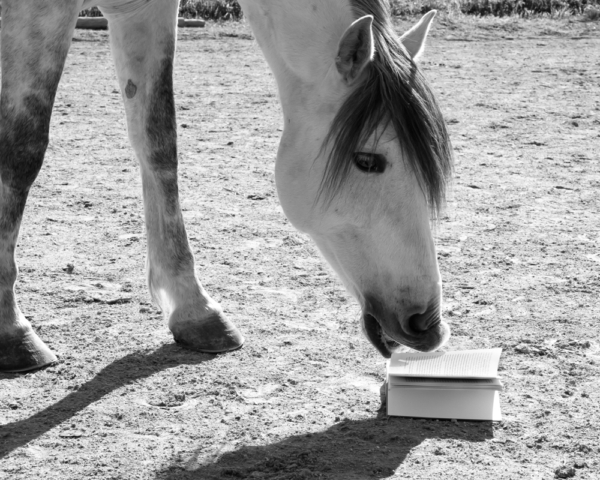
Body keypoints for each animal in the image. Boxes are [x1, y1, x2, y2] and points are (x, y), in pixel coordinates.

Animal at [0, 0, 450, 374]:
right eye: (368, 161)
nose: (428, 325)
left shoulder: (142, 10)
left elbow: (159, 141)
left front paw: (195, 310)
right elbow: (22, 149)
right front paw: (11, 328)